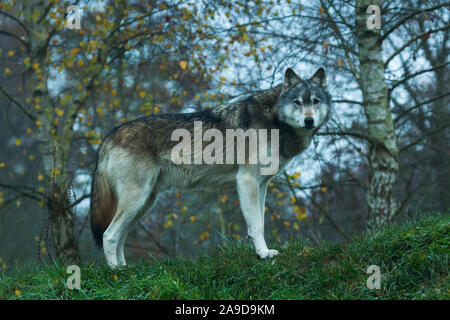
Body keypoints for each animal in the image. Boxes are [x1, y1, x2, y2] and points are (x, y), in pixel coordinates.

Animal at [89, 67, 332, 268]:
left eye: (316, 101)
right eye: (298, 102)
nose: (309, 121)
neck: (274, 120)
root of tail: (109, 136)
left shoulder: (262, 184)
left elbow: (259, 223)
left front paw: (262, 252)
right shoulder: (247, 181)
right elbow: (256, 225)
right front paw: (263, 254)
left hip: (144, 203)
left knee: (120, 237)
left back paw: (125, 269)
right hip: (137, 200)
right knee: (109, 235)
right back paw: (116, 273)